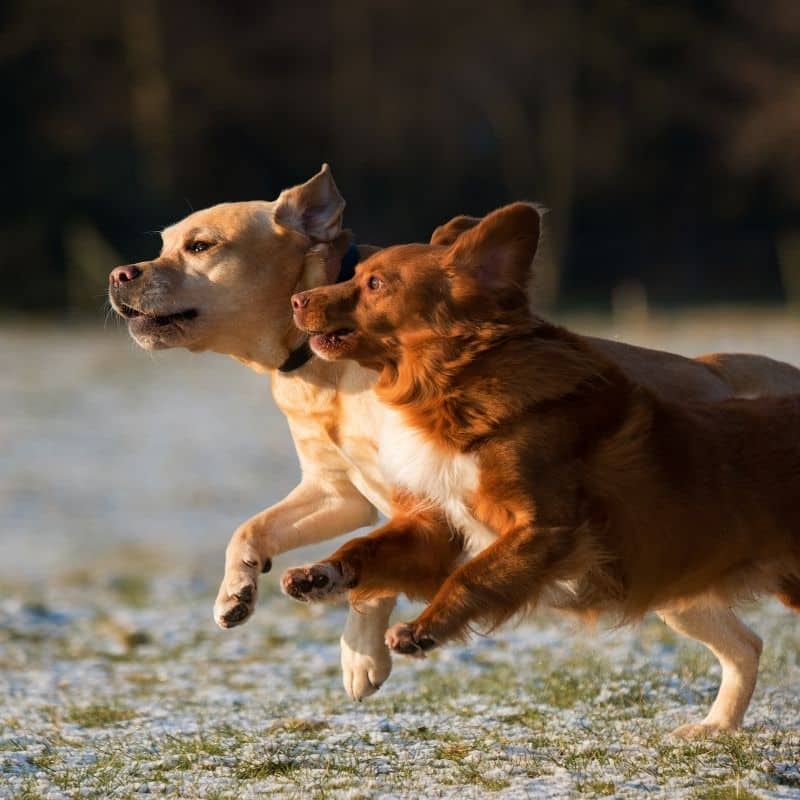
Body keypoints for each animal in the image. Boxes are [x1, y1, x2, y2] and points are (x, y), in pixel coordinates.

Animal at [284, 203, 796, 736]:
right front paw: (320, 574)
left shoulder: (546, 529)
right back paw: (714, 727)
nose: (296, 299)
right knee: (747, 646)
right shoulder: (441, 527)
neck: (454, 387)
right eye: (358, 273)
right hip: (680, 593)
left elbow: (474, 577)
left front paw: (423, 629)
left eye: (375, 283)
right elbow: (369, 546)